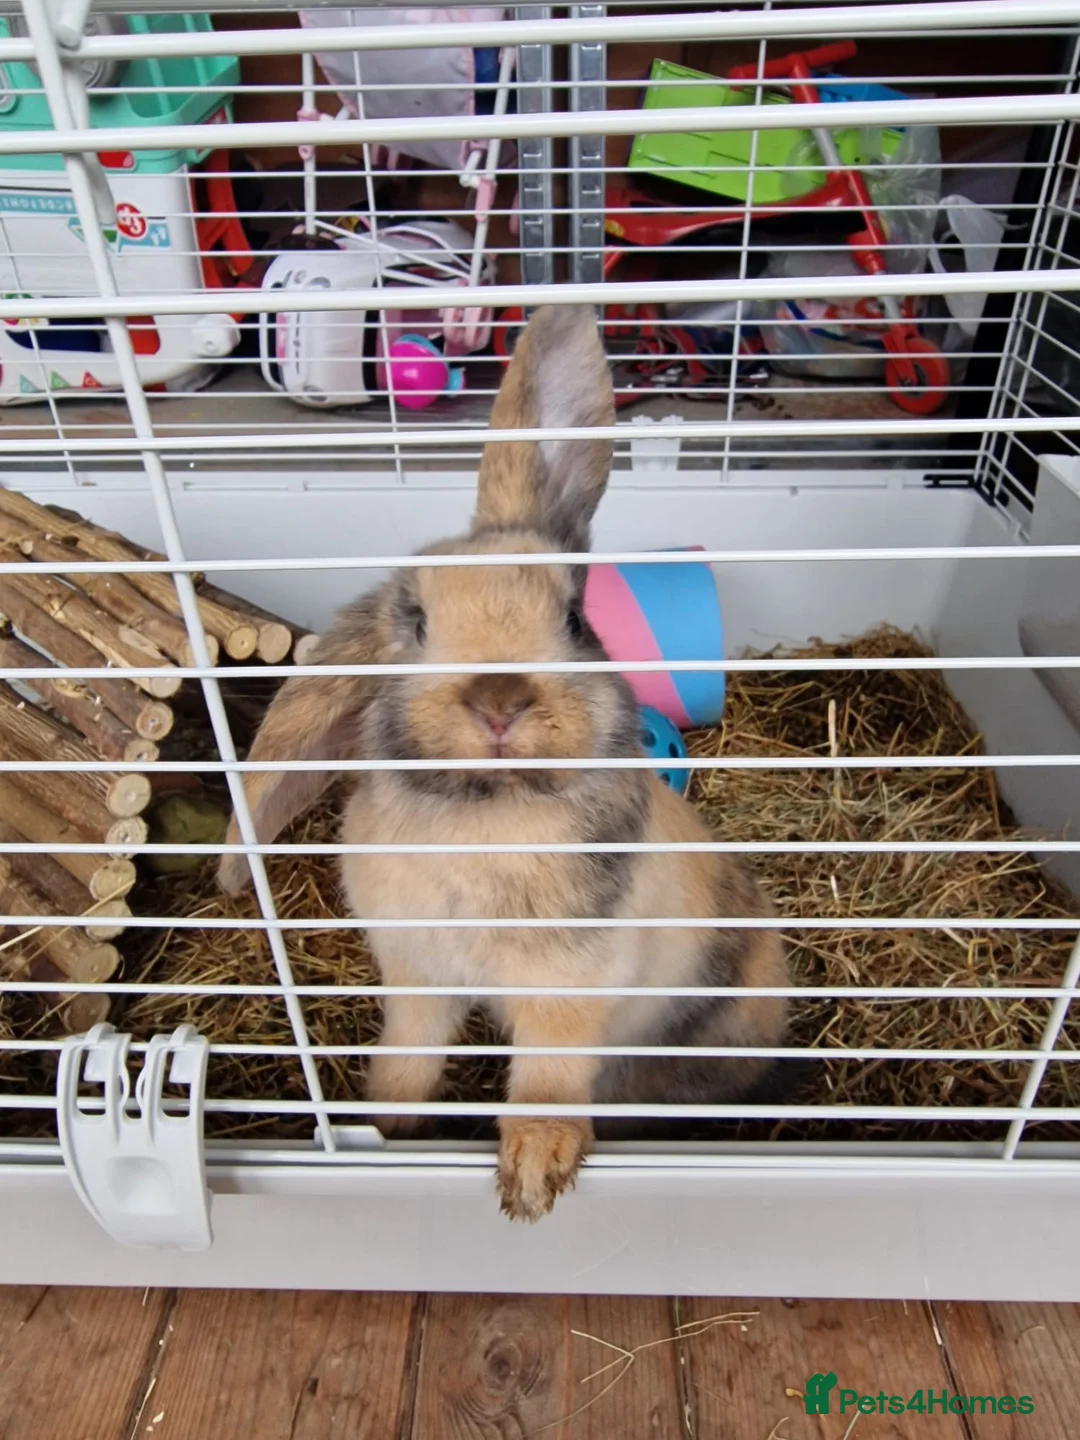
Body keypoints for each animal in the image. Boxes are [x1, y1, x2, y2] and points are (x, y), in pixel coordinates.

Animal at [219, 304, 790, 1222]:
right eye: (414, 620)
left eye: (576, 619)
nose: (498, 700)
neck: (487, 807)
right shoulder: (417, 977)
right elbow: (408, 1058)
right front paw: (390, 1124)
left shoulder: (568, 989)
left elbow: (549, 1075)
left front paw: (531, 1177)